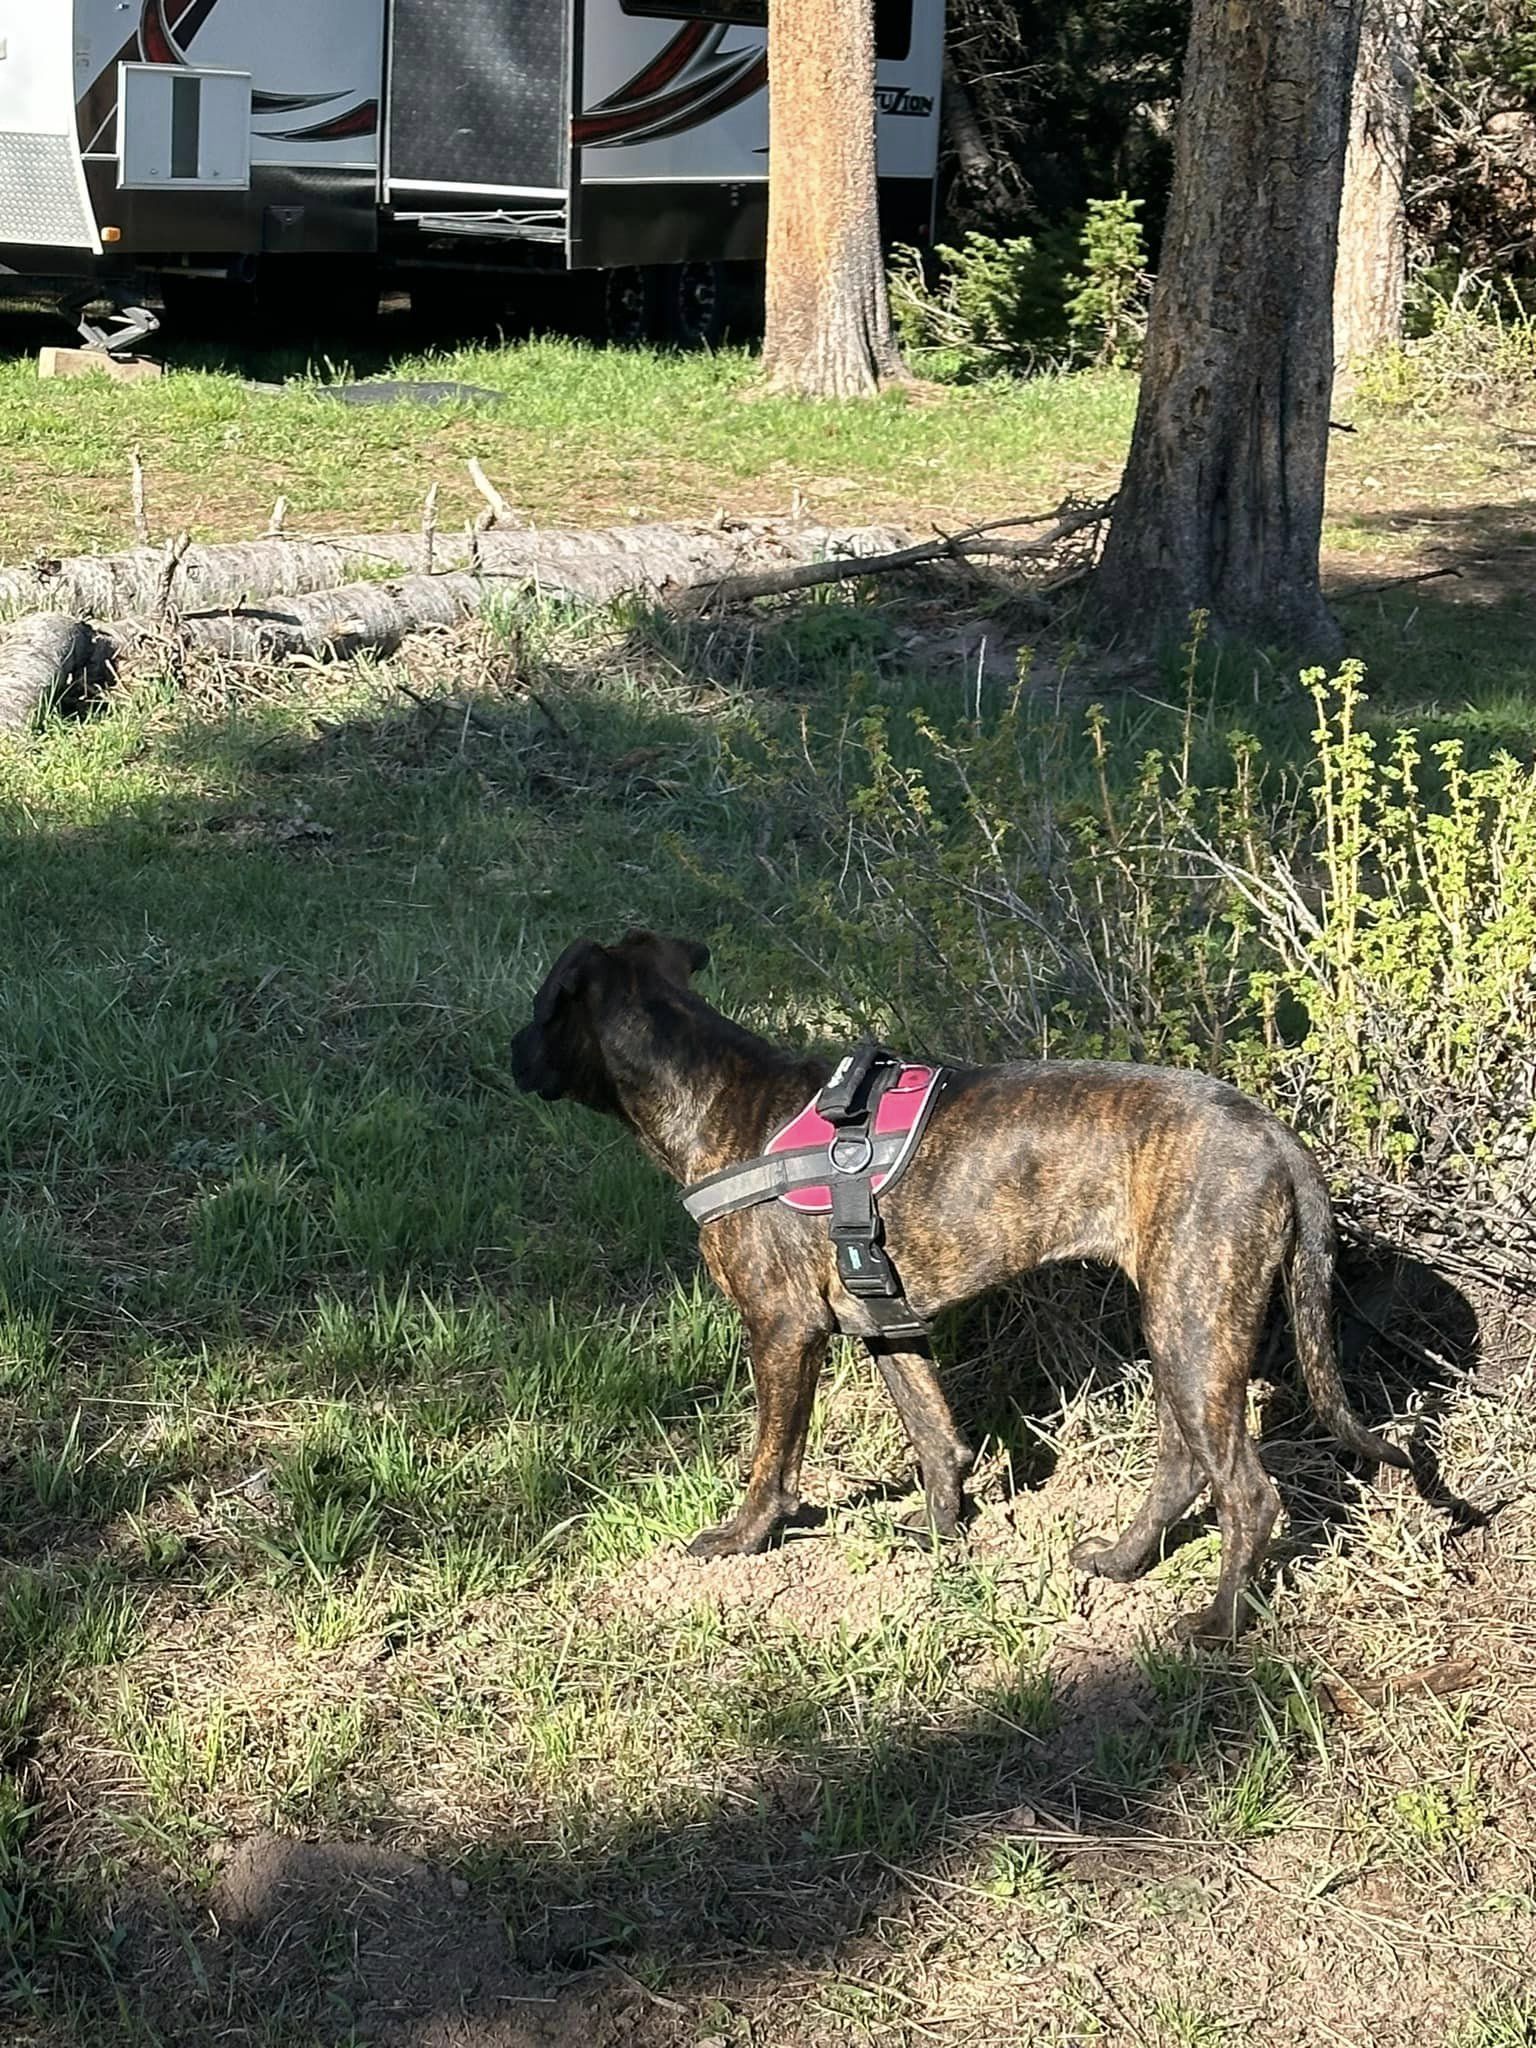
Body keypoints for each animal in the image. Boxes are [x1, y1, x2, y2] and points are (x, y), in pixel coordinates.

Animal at [512, 933, 1417, 1646]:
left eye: (542, 1007)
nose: (508, 1053)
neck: (717, 1095)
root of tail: (1277, 1136)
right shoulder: (887, 1326)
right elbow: (935, 1435)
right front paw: (943, 1536)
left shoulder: (781, 1330)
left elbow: (773, 1458)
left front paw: (741, 1539)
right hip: (1182, 1330)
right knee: (1184, 1467)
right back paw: (1122, 1562)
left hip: (1194, 1326)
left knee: (1249, 1493)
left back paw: (1219, 1622)